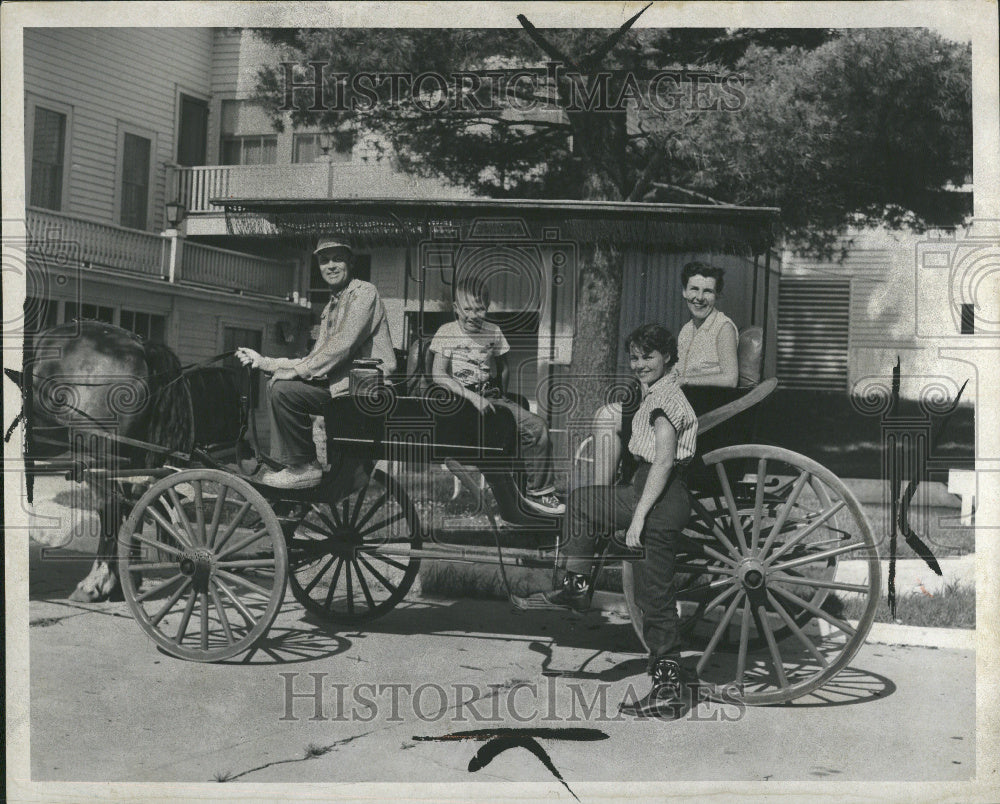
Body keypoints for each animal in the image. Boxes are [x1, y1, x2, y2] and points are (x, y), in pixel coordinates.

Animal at [25, 320, 194, 604]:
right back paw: (126, 581)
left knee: (112, 506)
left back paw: (96, 582)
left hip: (98, 451)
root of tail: (138, 343)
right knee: (135, 501)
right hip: (129, 458)